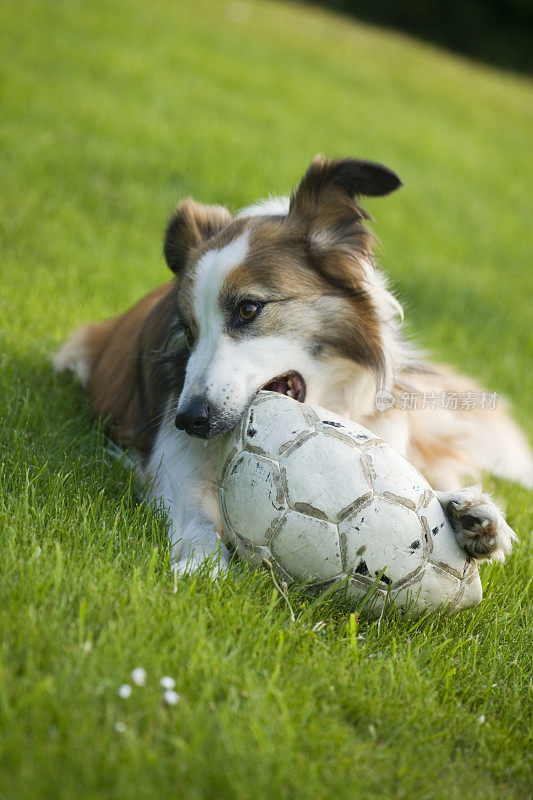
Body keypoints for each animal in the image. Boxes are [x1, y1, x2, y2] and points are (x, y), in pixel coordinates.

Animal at [54, 156, 528, 572]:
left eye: (248, 308)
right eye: (189, 331)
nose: (189, 419)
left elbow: (414, 487)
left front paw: (468, 515)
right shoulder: (172, 463)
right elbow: (197, 514)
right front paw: (202, 564)